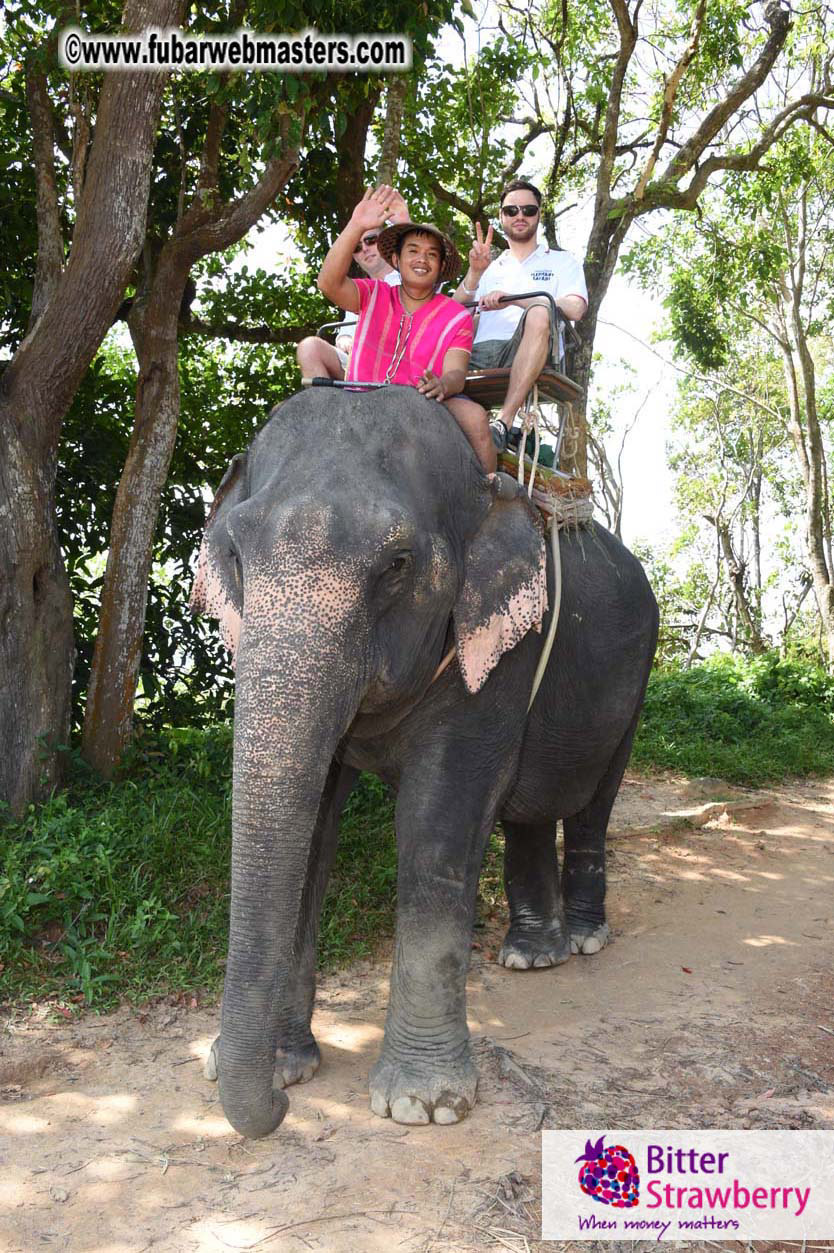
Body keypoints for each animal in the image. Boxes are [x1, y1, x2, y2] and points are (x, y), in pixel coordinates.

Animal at [191, 384, 658, 1139]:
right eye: (234, 551)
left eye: (397, 566)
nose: (279, 1110)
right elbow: (314, 826)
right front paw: (289, 1067)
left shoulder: (501, 645)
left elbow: (439, 820)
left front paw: (423, 1103)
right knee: (528, 807)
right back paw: (533, 956)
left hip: (640, 674)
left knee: (592, 803)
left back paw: (585, 941)